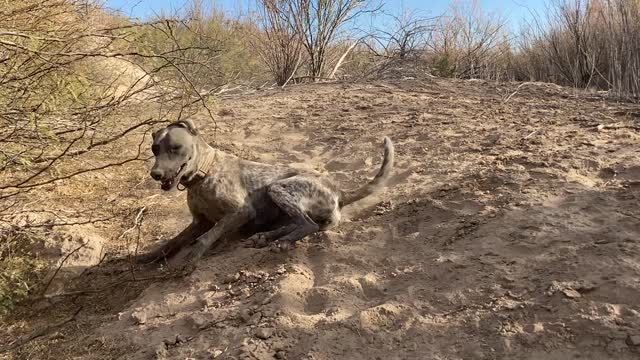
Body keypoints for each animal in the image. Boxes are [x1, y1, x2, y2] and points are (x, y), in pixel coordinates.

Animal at [138, 119, 392, 262]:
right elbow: (172, 242)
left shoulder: (241, 212)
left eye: (175, 147)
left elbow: (209, 235)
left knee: (307, 225)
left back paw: (281, 241)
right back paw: (265, 237)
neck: (205, 172)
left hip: (277, 188)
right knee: (302, 223)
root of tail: (339, 191)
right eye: (154, 148)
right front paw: (149, 256)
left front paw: (194, 255)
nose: (156, 174)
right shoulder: (199, 221)